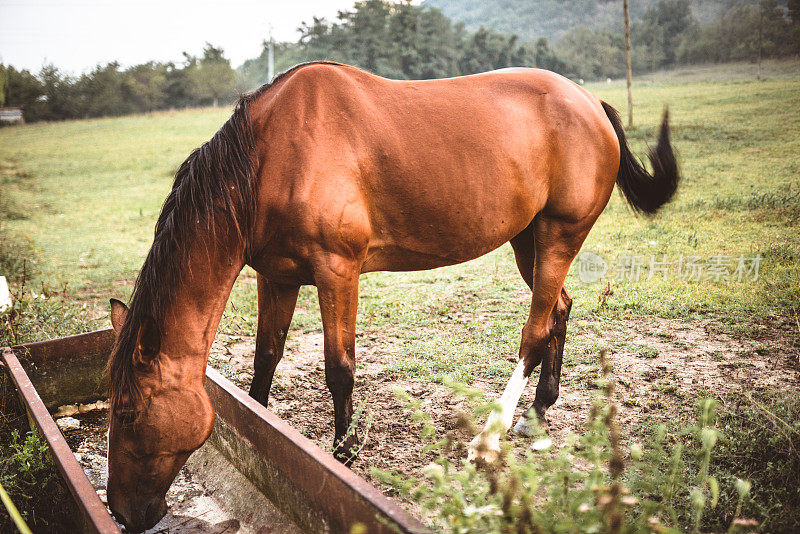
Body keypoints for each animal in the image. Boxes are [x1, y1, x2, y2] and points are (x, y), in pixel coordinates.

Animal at [104, 61, 676, 532]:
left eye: (128, 412)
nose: (124, 513)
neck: (269, 157)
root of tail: (590, 102)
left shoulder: (337, 272)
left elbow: (339, 368)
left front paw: (343, 454)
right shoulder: (278, 277)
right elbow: (265, 361)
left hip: (559, 234)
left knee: (535, 331)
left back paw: (491, 436)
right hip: (527, 238)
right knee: (559, 310)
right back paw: (537, 412)